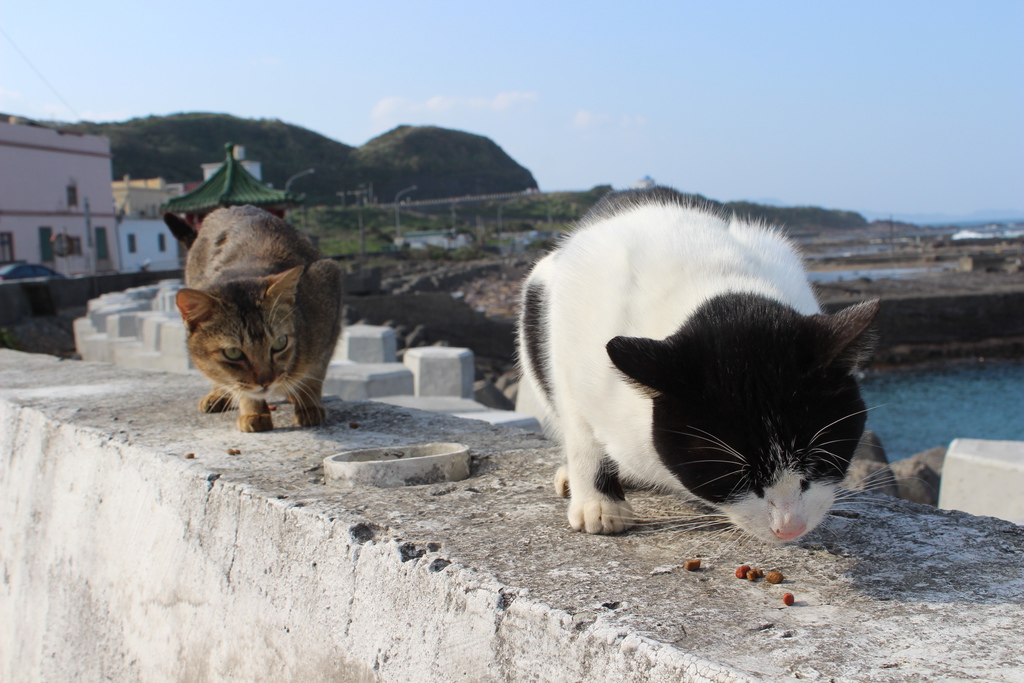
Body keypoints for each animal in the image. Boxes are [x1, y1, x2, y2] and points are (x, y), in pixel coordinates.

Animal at [520, 187, 880, 544]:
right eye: (731, 473)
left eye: (819, 460)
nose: (789, 526)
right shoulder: (568, 345)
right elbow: (582, 436)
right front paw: (598, 503)